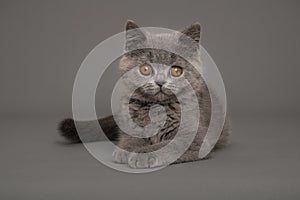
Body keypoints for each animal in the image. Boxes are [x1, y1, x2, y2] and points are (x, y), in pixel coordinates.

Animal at [59, 20, 231, 169]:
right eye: (146, 69)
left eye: (176, 70)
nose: (160, 82)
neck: (156, 109)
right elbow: (130, 137)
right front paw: (126, 149)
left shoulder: (196, 139)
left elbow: (170, 145)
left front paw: (141, 155)